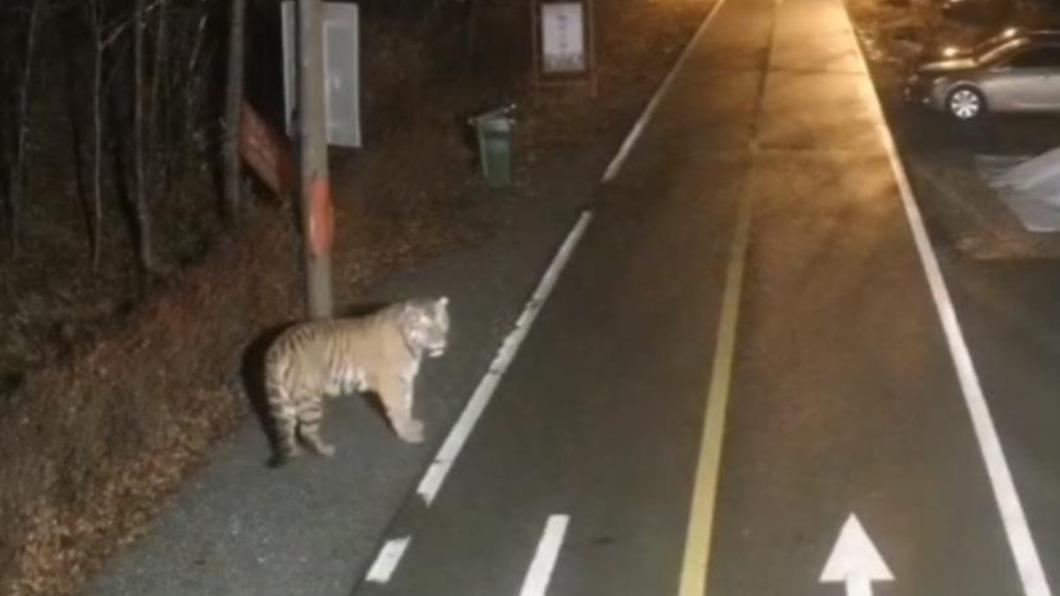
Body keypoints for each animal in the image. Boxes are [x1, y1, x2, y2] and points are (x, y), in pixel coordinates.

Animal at [263, 296, 449, 465]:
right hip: (309, 400)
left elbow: (407, 403)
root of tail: (277, 347)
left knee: (288, 429)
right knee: (306, 430)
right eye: (426, 327)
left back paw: (296, 453)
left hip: (286, 402)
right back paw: (326, 451)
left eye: (442, 324)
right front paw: (408, 435)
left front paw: (412, 425)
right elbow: (399, 410)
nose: (440, 342)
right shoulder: (393, 384)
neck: (412, 343)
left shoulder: (406, 380)